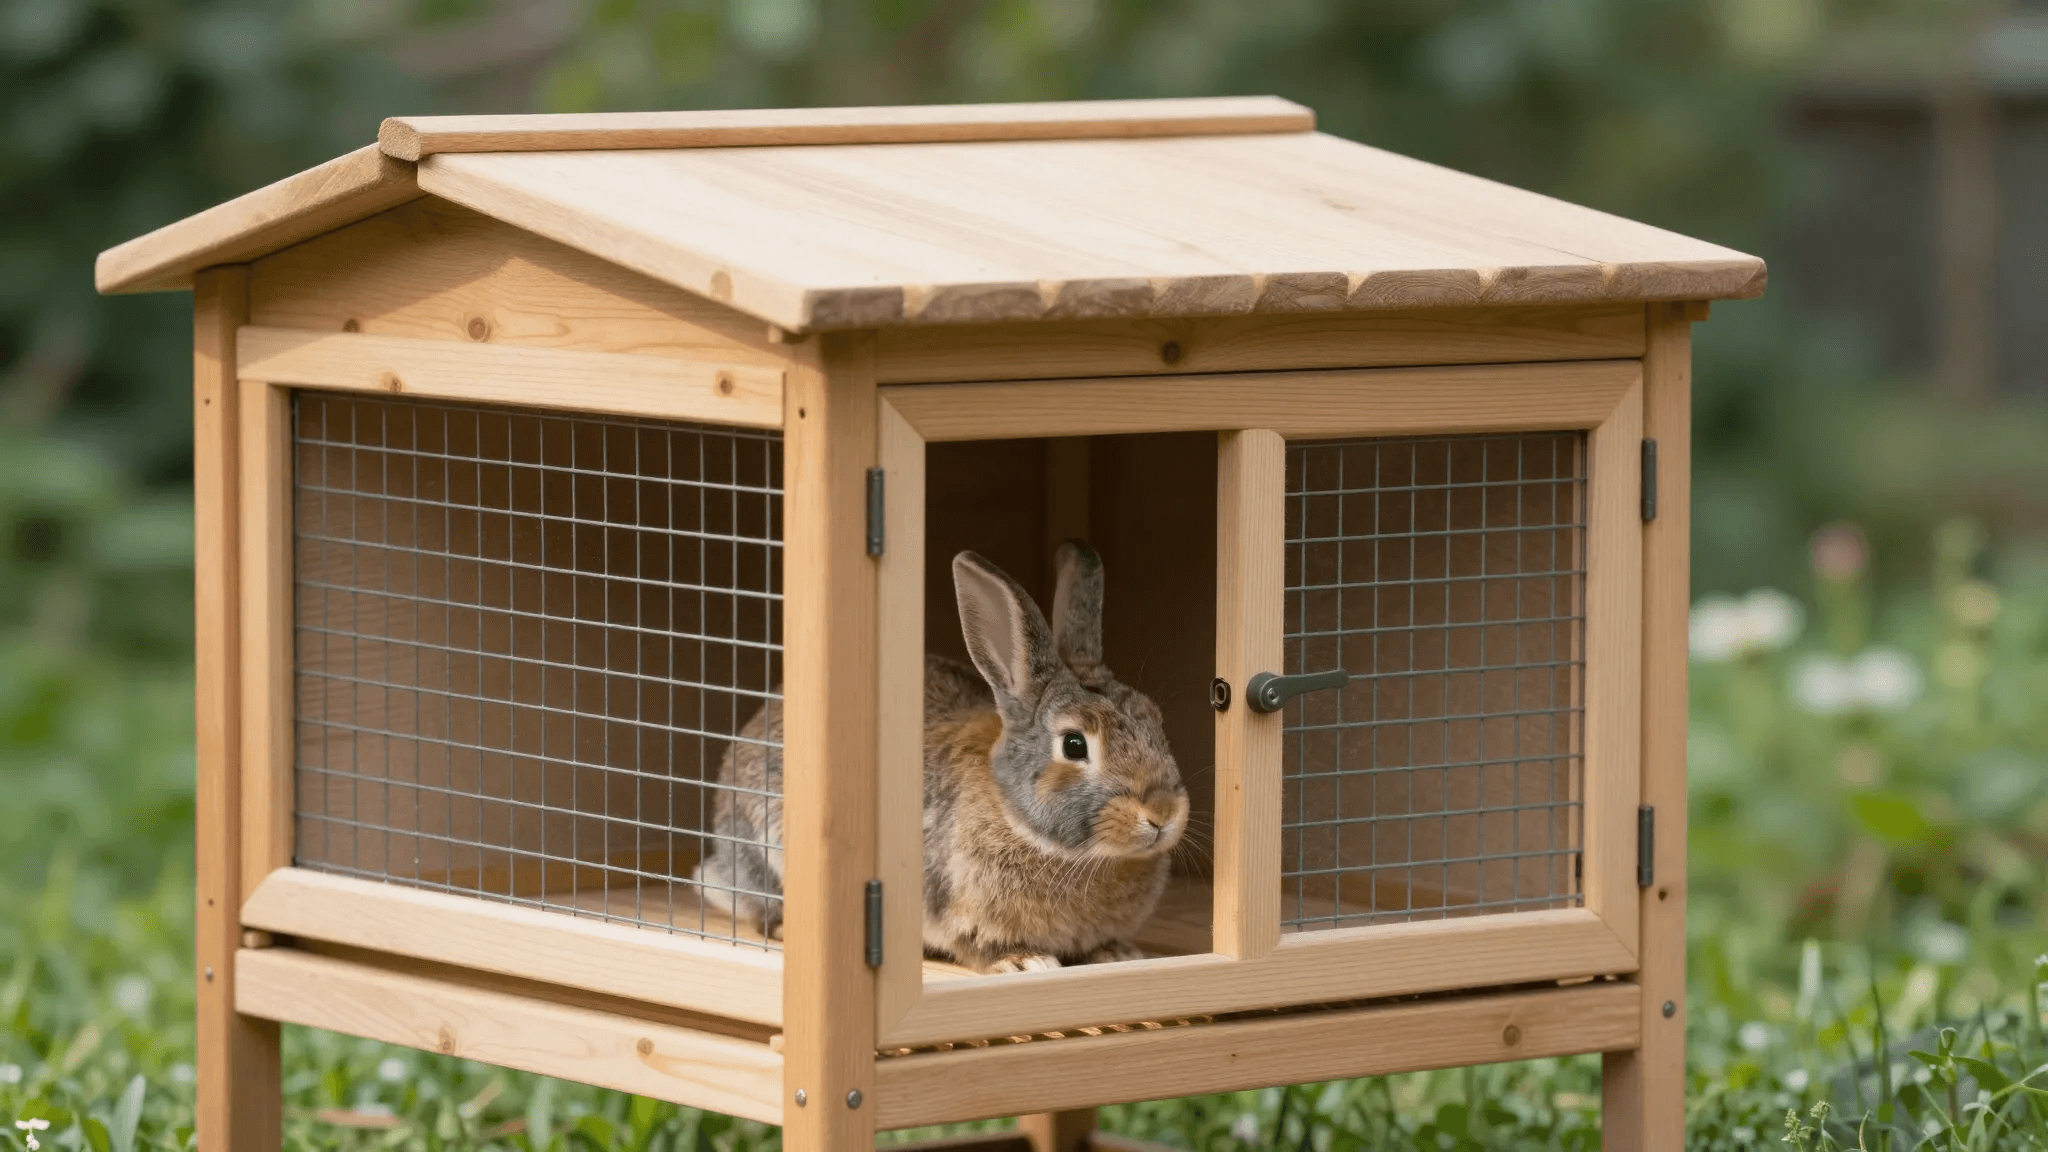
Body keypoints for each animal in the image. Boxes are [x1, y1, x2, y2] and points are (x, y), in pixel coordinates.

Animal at [693, 541, 1189, 973]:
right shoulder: (953, 906)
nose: (1162, 813)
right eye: (1074, 745)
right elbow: (977, 945)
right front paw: (1023, 961)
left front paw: (1118, 953)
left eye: (1156, 721)